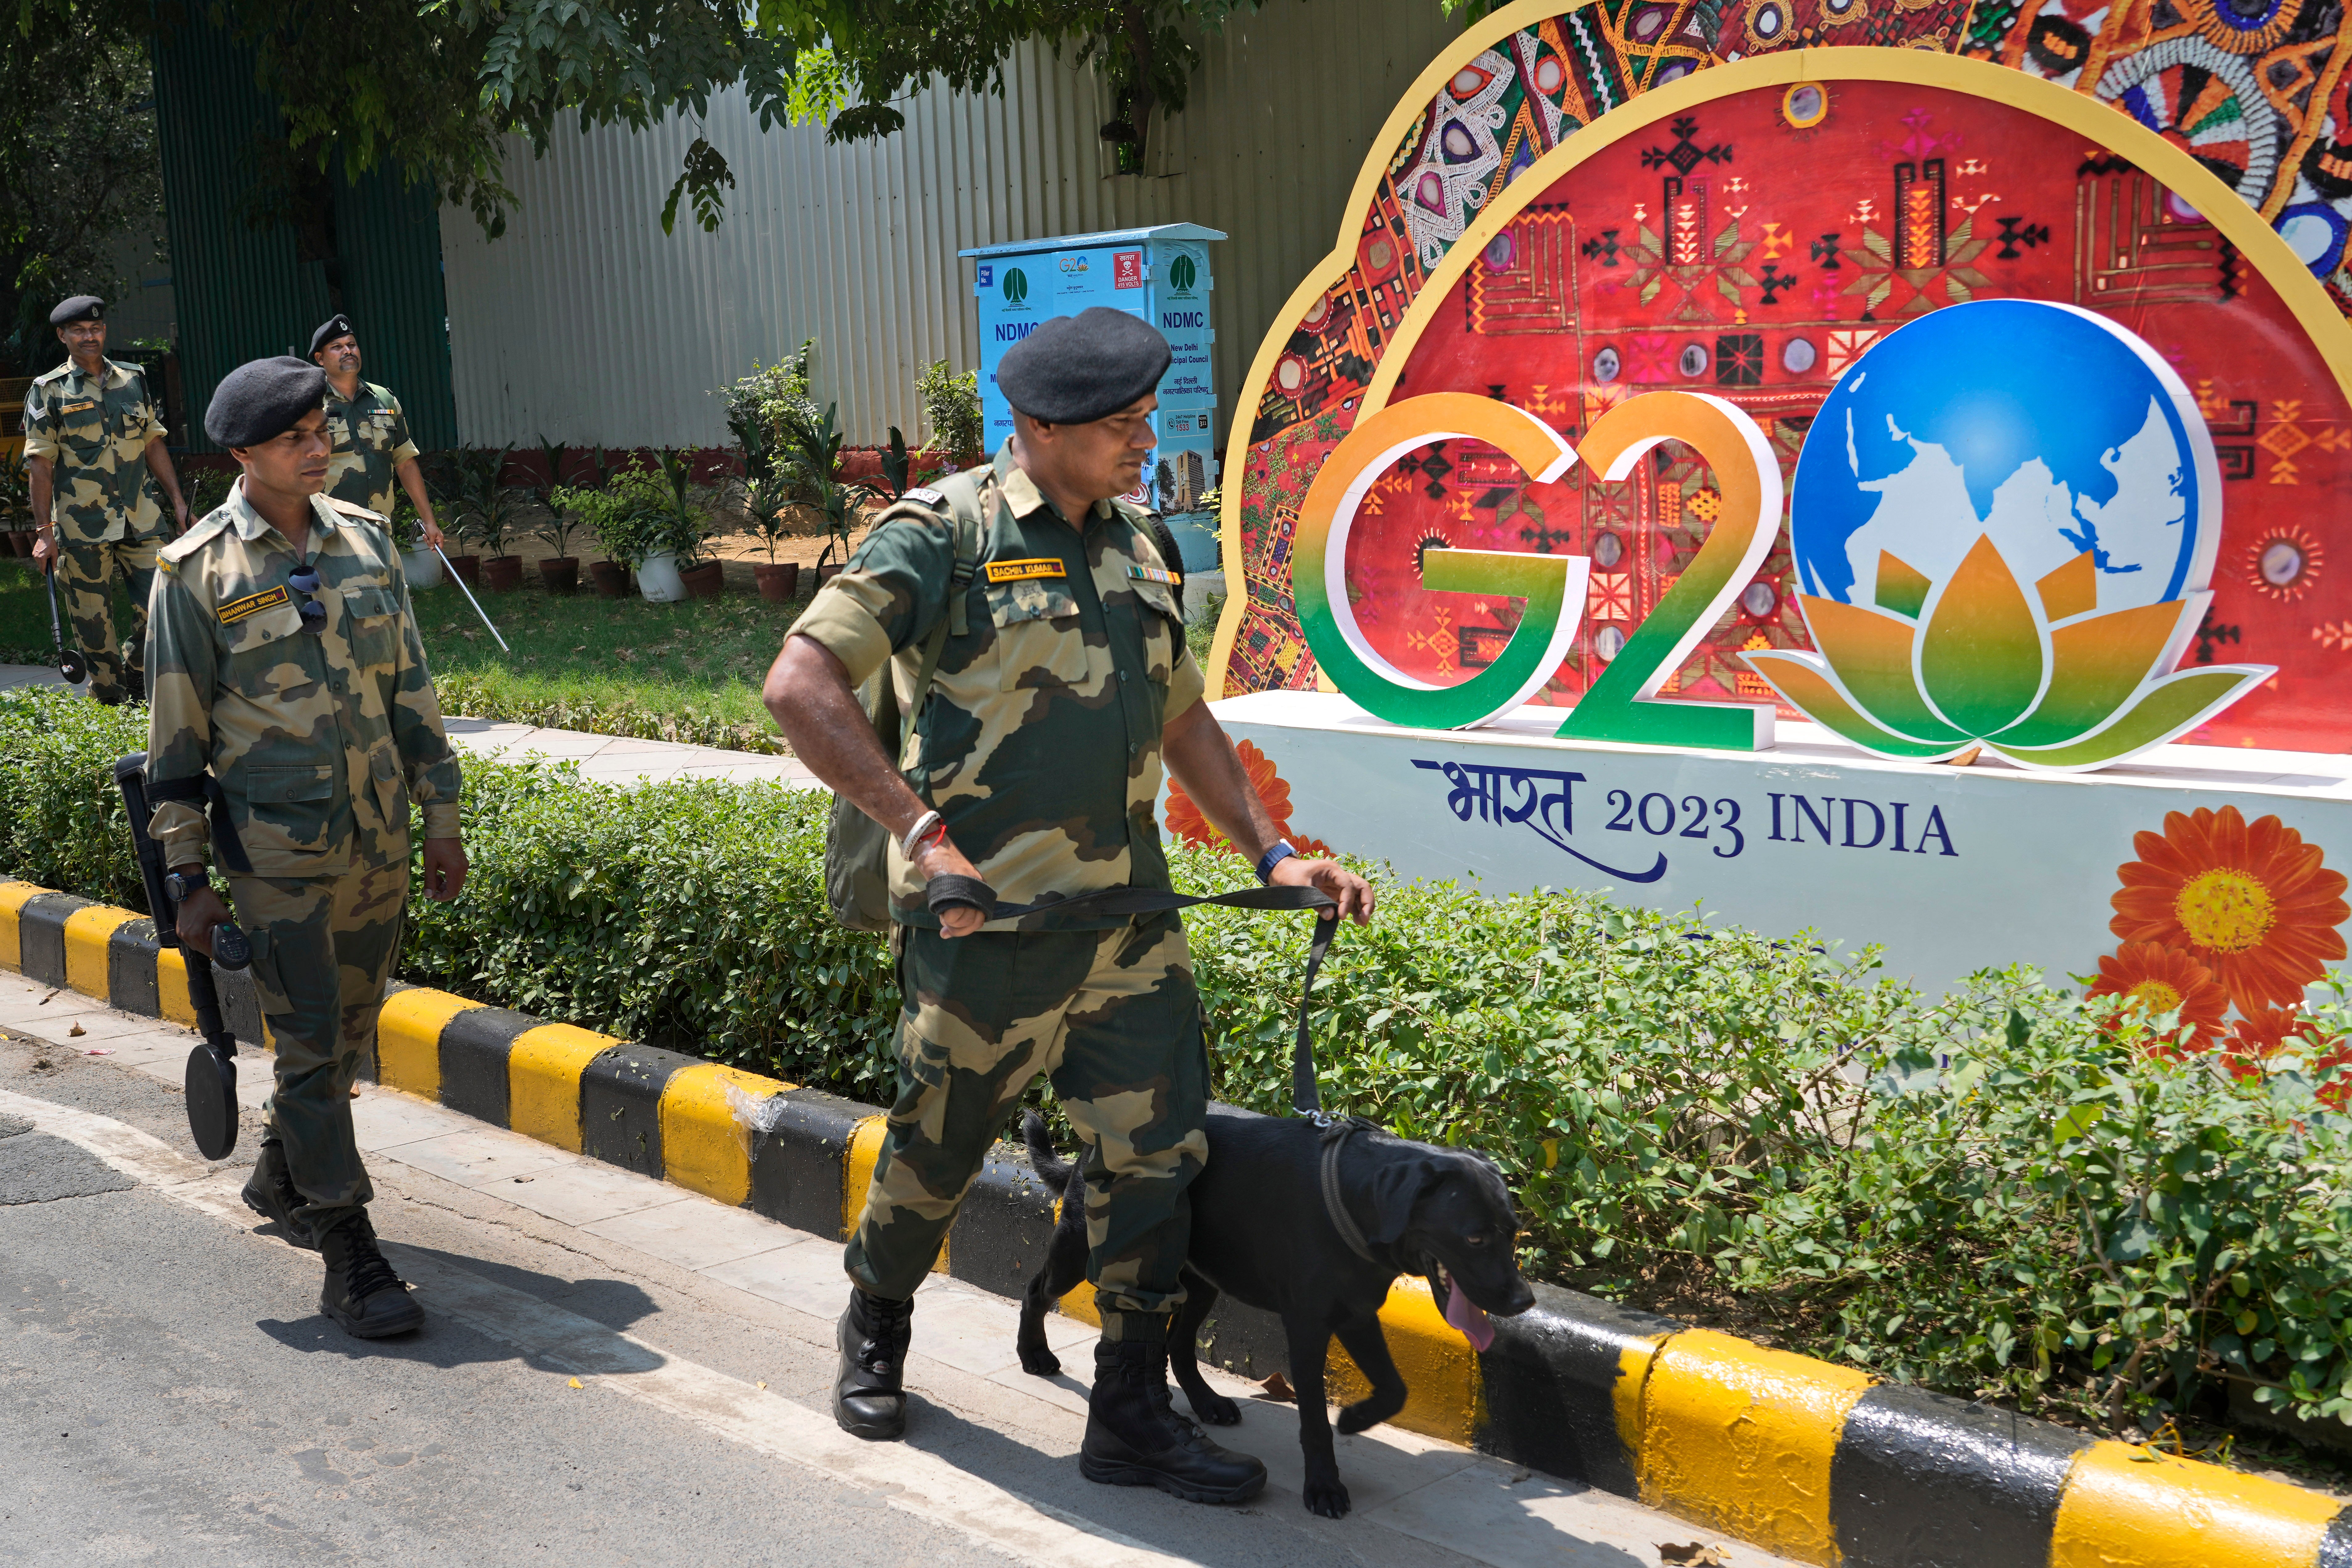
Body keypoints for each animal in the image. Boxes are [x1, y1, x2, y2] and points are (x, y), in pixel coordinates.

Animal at [1016, 1105, 1533, 1523]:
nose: (1524, 1300)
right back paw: (1034, 1353)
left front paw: (1356, 1419)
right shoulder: (1308, 1326)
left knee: (1177, 1343)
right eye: (1475, 1237)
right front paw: (1324, 1485)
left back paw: (1206, 1402)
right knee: (1038, 1290)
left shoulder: (1356, 1314)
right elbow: (1315, 1421)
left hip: (1202, 1279)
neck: (1356, 1197)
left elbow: (1394, 1388)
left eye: (1513, 1230)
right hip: (1081, 1247)